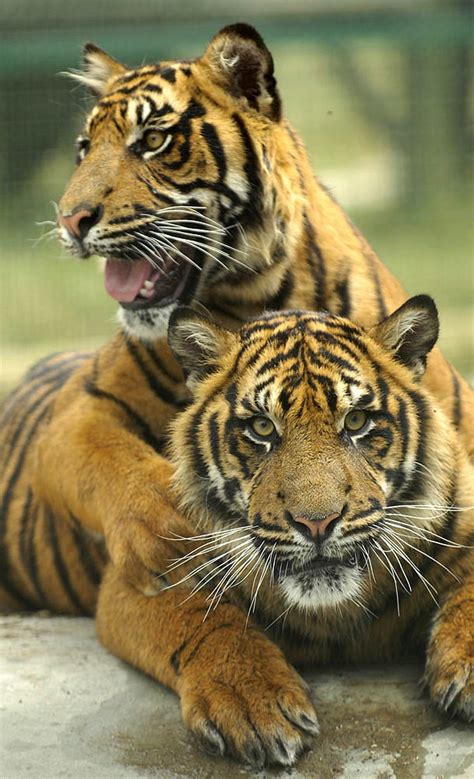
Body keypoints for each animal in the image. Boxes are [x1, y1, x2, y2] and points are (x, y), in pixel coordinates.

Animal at [0, 27, 472, 620]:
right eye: (84, 149)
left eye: (152, 140)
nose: (69, 220)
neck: (258, 295)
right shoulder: (75, 415)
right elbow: (117, 465)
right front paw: (173, 540)